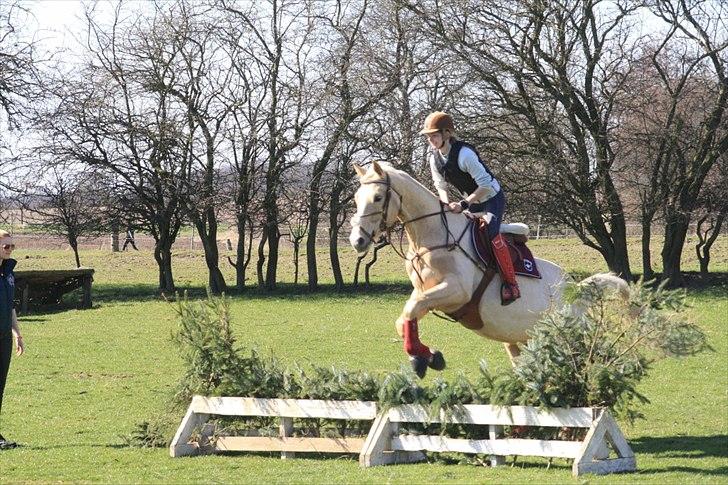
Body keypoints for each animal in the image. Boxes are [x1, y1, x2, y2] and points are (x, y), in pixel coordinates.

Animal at [350, 161, 624, 376]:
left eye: (377, 198)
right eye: (356, 198)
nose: (358, 240)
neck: (433, 235)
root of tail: (576, 289)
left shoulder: (457, 292)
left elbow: (411, 311)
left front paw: (423, 358)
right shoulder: (424, 292)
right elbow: (405, 318)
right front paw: (427, 357)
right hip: (520, 339)